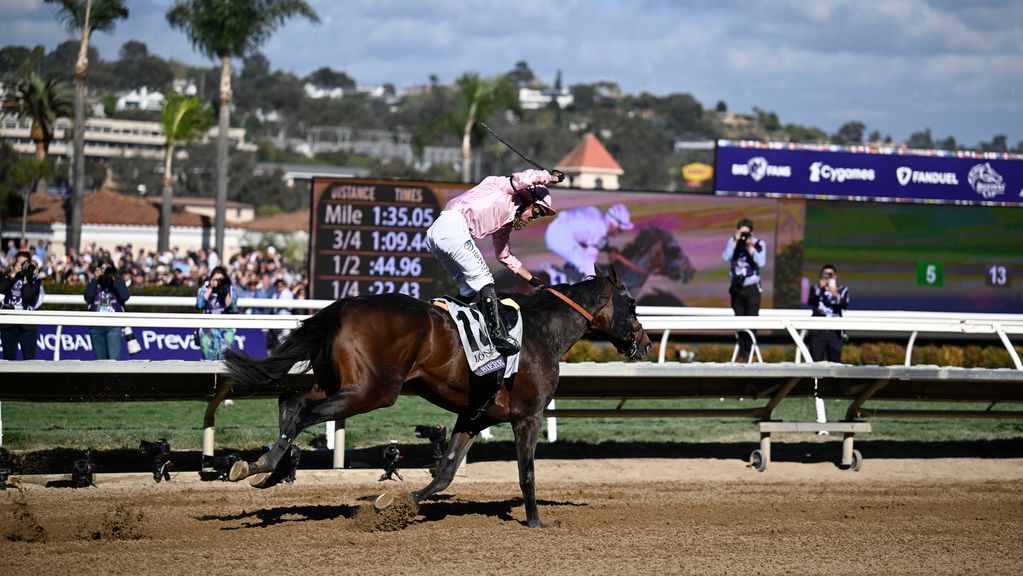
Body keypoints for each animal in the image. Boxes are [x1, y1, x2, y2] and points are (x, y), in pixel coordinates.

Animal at [227, 266, 650, 527]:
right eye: (632, 304)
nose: (644, 343)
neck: (541, 332)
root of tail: (344, 305)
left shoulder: (474, 416)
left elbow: (445, 473)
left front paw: (395, 504)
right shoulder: (528, 416)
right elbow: (526, 473)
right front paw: (536, 521)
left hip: (338, 383)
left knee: (291, 402)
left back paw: (262, 469)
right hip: (372, 391)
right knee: (304, 412)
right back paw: (266, 466)